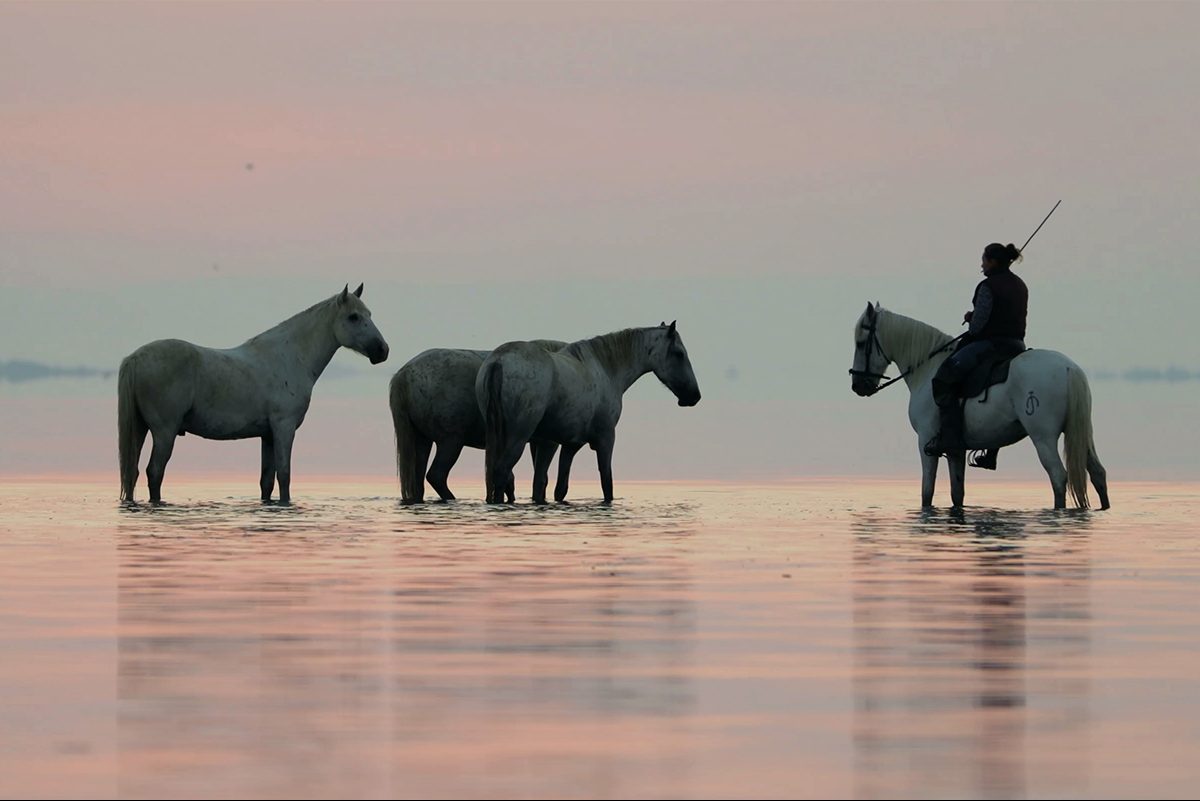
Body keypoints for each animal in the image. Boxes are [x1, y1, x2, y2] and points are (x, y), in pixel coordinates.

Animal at [388, 340, 566, 503]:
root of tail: (404, 375)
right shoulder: (548, 443)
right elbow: (541, 478)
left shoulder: (536, 442)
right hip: (450, 442)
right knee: (436, 475)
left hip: (423, 440)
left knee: (418, 480)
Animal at [477, 321, 700, 503]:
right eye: (679, 353)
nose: (694, 396)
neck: (606, 370)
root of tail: (498, 361)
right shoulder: (606, 439)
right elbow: (607, 484)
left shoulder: (570, 445)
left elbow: (560, 489)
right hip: (518, 437)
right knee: (501, 473)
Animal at [849, 303, 1108, 510]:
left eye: (861, 343)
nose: (858, 386)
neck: (927, 367)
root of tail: (1069, 368)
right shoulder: (956, 449)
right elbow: (957, 493)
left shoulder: (925, 441)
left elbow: (927, 492)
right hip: (1080, 434)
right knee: (1098, 473)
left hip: (1043, 436)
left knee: (1058, 476)